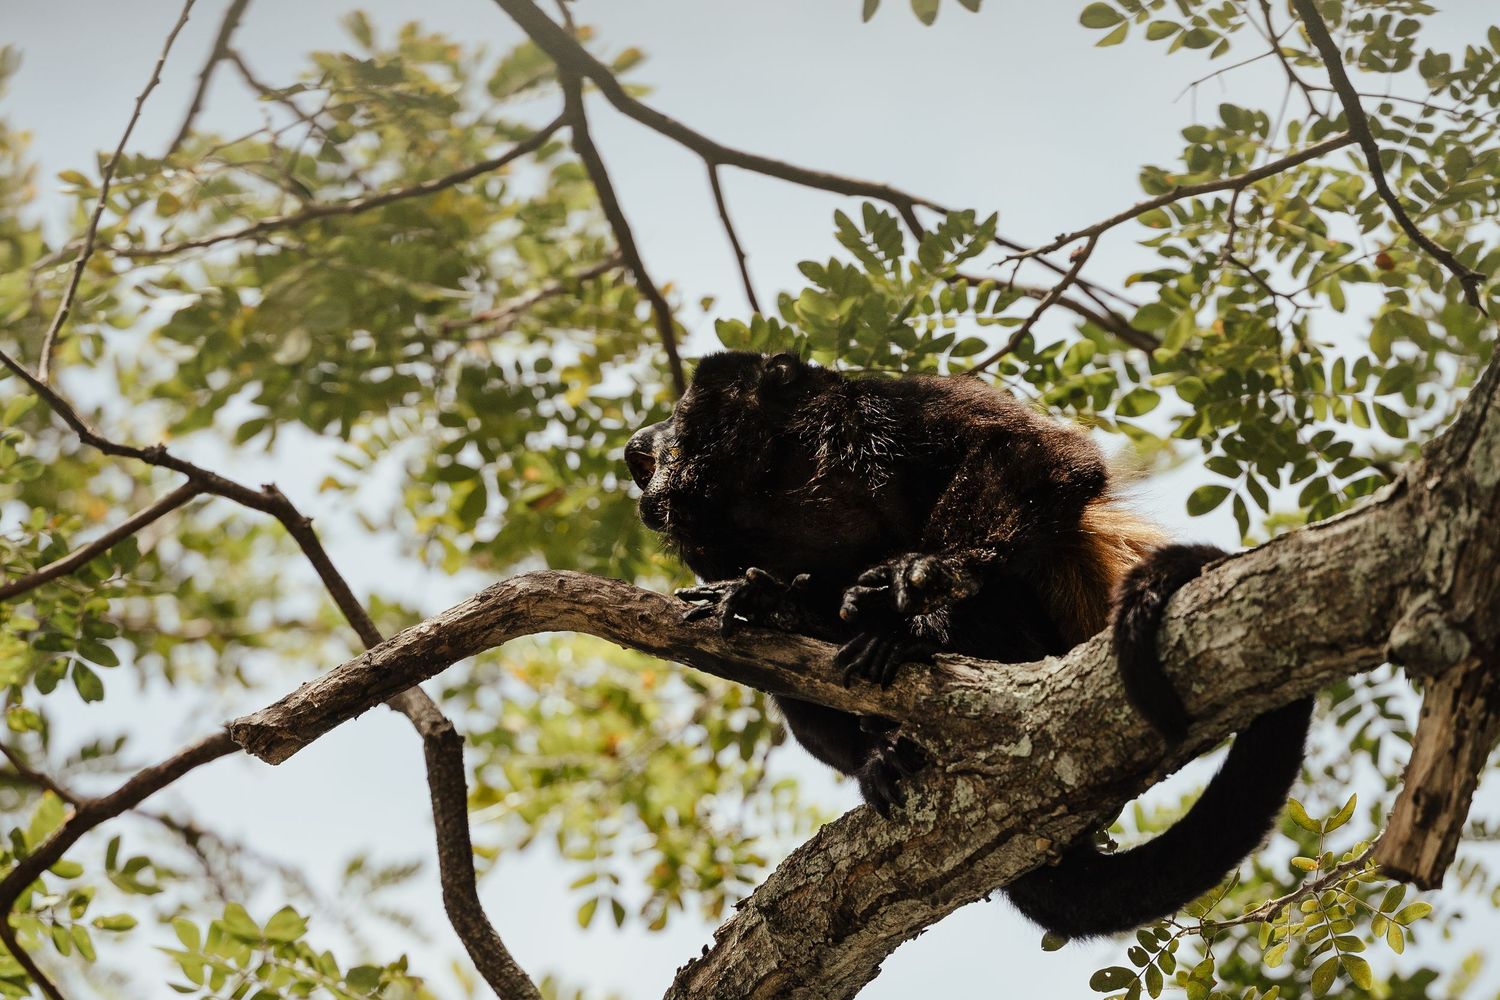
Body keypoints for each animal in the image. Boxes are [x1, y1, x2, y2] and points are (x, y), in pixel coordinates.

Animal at [624, 350, 1313, 939]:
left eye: (679, 414)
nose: (636, 446)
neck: (778, 483)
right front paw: (768, 599)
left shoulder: (886, 407)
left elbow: (1035, 453)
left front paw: (926, 576)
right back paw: (881, 743)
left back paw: (915, 638)